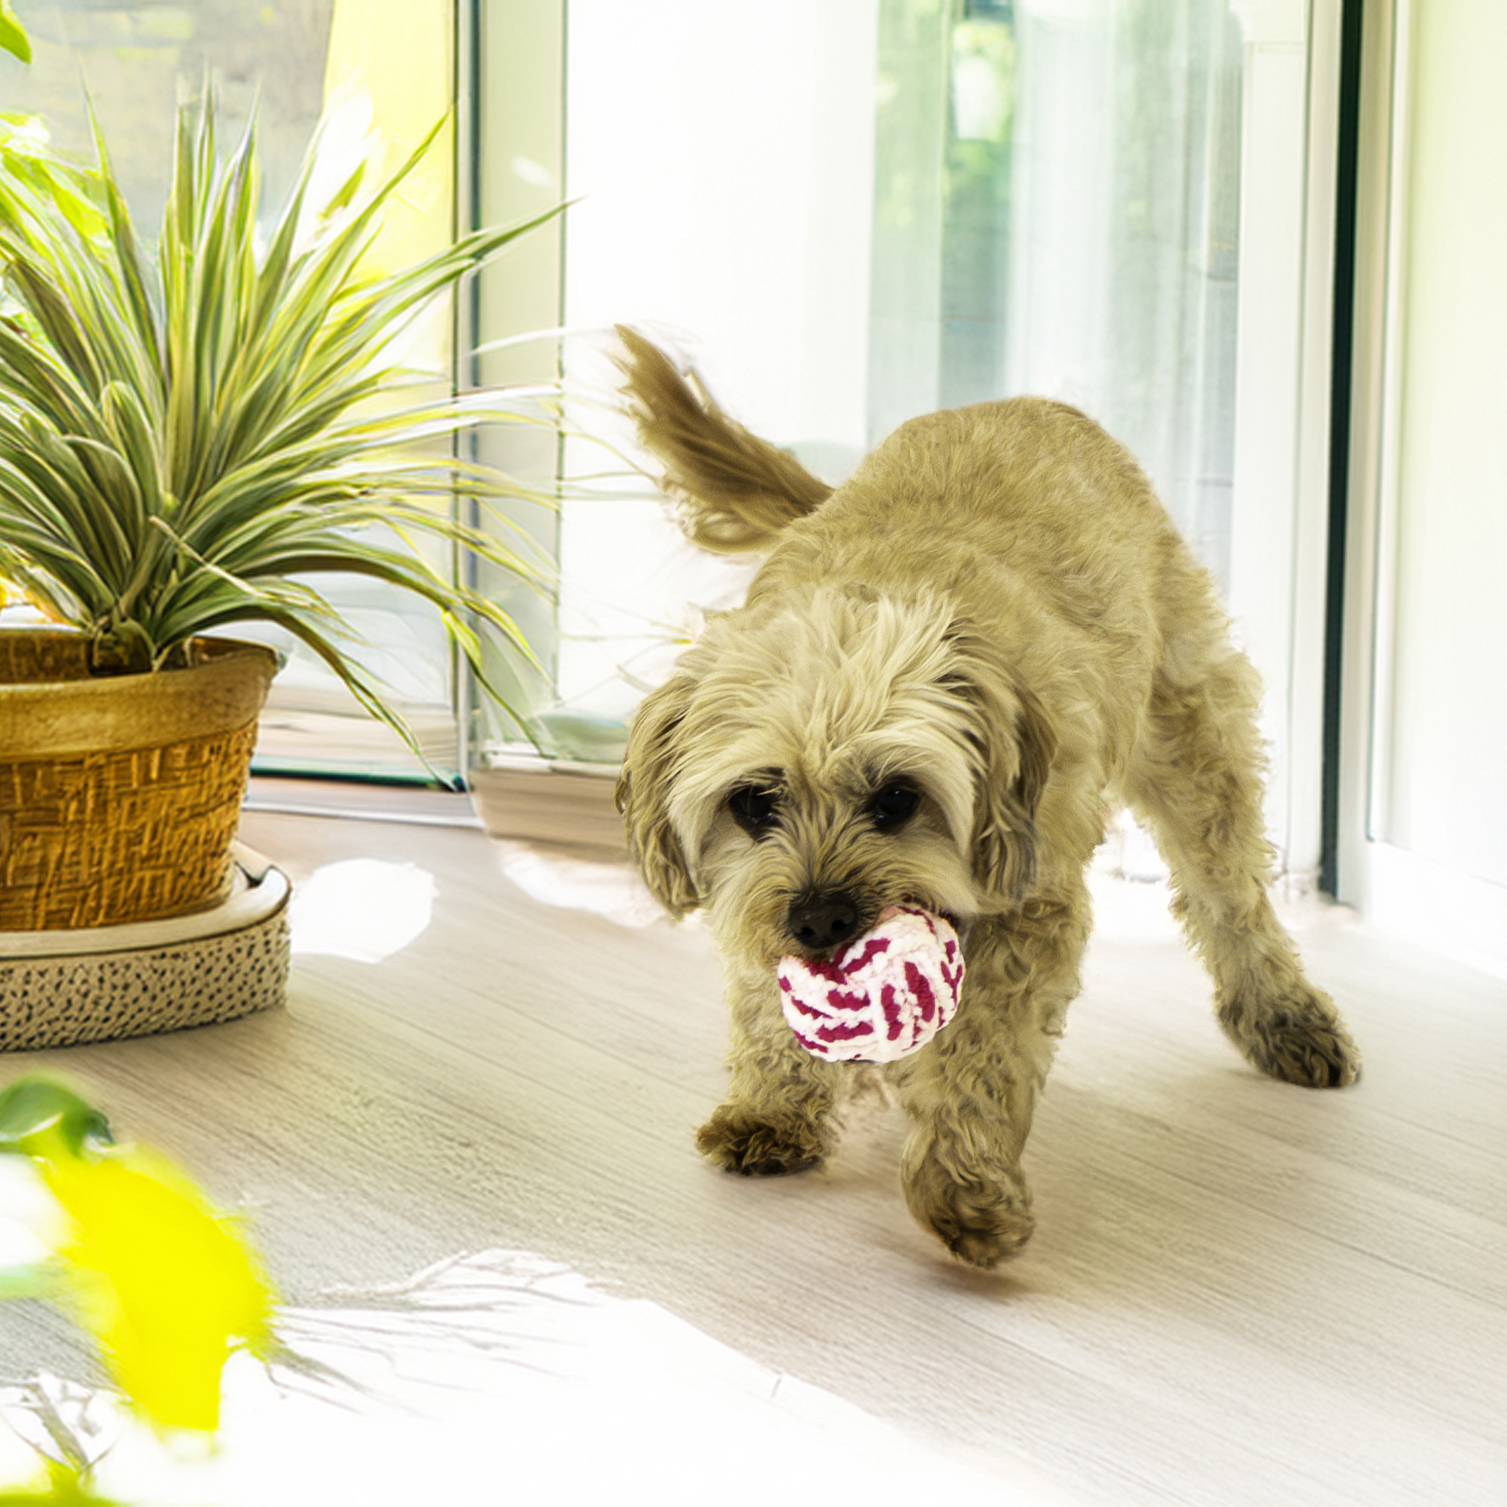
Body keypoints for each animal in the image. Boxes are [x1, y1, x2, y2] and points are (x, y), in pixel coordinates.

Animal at [605, 330, 1362, 1271]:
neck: (872, 597)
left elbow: (975, 1061)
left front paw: (960, 1190)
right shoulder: (751, 899)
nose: (821, 921)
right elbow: (763, 1003)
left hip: (1191, 741)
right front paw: (772, 1106)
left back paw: (1283, 1016)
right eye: (753, 803)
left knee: (1230, 898)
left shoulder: (1024, 916)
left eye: (897, 798)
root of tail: (1034, 403)